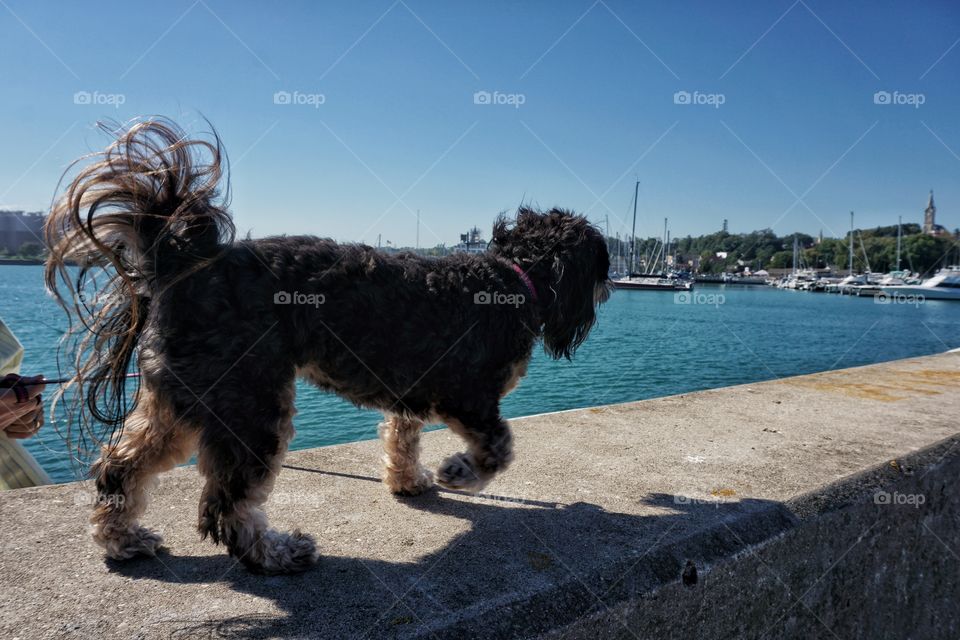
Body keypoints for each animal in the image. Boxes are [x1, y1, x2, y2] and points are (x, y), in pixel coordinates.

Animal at [45, 117, 612, 572]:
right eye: (602, 267)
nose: (607, 290)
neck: (512, 276)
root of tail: (180, 261)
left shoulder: (408, 394)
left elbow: (401, 436)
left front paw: (409, 481)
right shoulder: (467, 394)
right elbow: (498, 447)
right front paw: (458, 471)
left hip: (185, 395)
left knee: (121, 466)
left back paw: (121, 539)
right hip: (250, 403)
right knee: (225, 505)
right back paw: (275, 554)